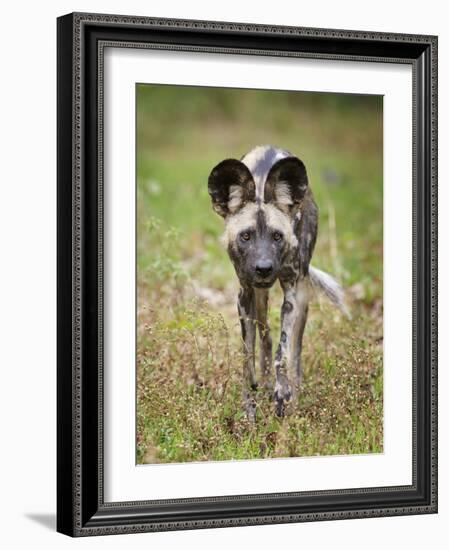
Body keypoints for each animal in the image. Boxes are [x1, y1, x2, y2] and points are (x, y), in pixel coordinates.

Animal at [207, 144, 346, 420]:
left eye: (277, 236)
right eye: (246, 236)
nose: (263, 268)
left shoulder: (291, 292)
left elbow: (283, 351)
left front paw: (282, 393)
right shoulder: (245, 295)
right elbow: (247, 355)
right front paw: (250, 403)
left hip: (301, 297)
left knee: (295, 352)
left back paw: (293, 398)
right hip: (259, 299)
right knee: (266, 337)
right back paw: (265, 383)